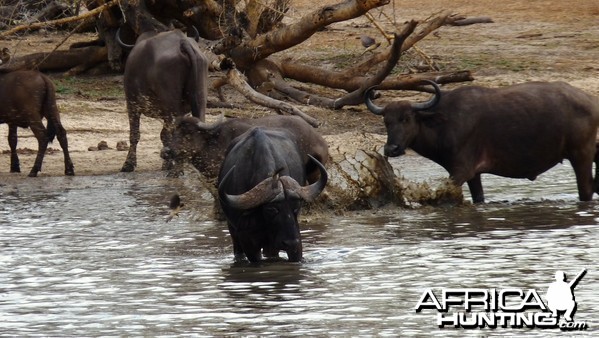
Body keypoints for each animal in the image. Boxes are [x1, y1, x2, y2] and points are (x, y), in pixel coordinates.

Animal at [364, 80, 599, 203]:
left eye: (406, 118)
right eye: (386, 121)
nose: (392, 149)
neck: (444, 122)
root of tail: (591, 100)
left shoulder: (461, 171)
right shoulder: (474, 174)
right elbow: (479, 197)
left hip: (581, 155)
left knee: (586, 189)